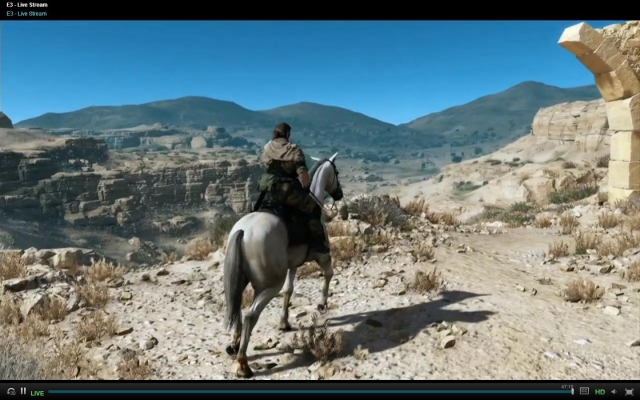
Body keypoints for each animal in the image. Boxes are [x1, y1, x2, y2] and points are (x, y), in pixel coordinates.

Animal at [223, 152, 344, 378]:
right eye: (336, 173)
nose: (339, 194)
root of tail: (243, 231)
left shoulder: (292, 265)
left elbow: (289, 290)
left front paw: (284, 323)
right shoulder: (322, 256)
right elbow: (329, 274)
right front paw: (322, 304)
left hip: (240, 282)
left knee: (236, 309)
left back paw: (234, 346)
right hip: (268, 286)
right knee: (250, 315)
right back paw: (243, 364)